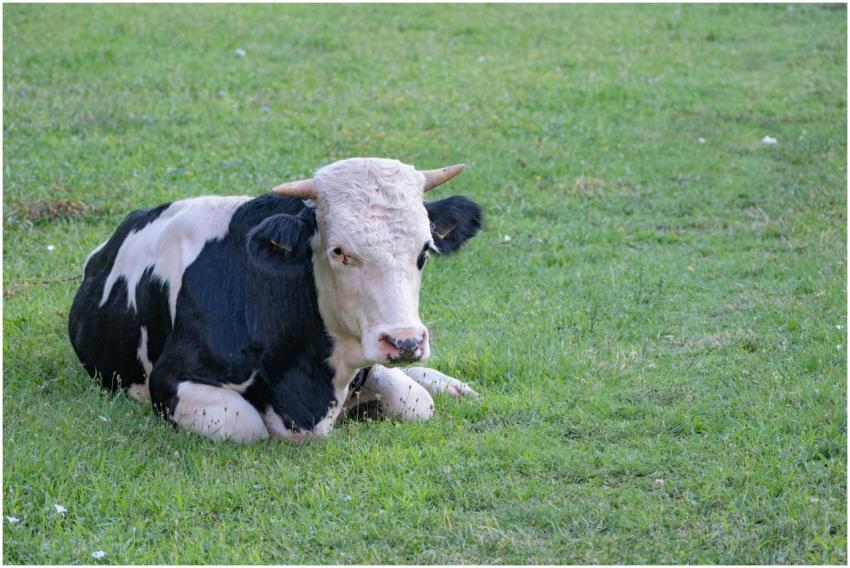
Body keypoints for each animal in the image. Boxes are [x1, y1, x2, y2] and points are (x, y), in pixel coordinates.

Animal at [69, 157, 483, 442]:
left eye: (424, 251)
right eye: (339, 251)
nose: (405, 341)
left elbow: (415, 400)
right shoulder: (171, 378)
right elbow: (246, 424)